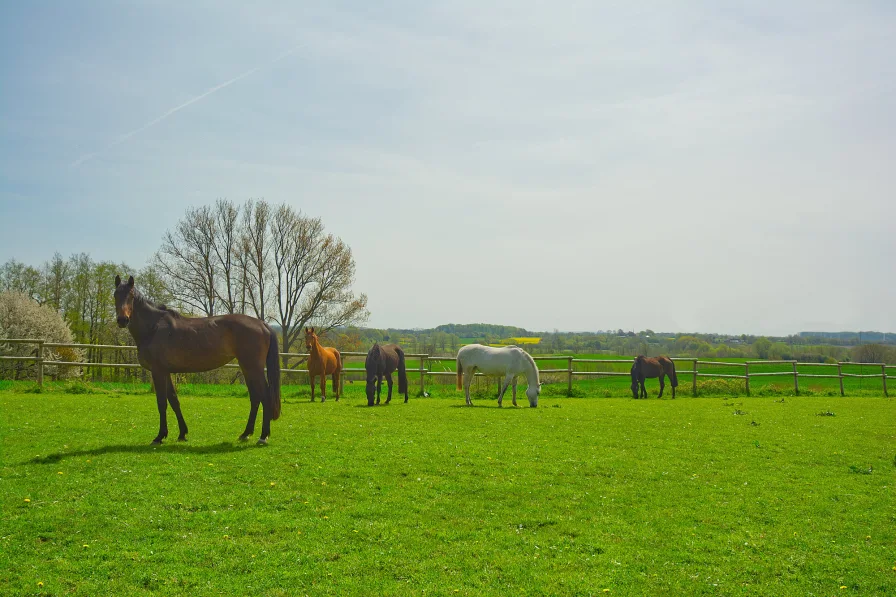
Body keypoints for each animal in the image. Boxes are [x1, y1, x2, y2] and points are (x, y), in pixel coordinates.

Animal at [111, 274, 280, 442]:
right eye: (115, 295)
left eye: (131, 296)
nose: (122, 320)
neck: (153, 328)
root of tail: (262, 324)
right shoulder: (166, 372)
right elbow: (174, 400)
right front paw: (182, 433)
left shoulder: (158, 371)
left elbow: (162, 403)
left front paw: (160, 436)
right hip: (247, 368)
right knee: (255, 397)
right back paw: (246, 433)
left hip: (253, 368)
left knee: (265, 397)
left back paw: (263, 436)